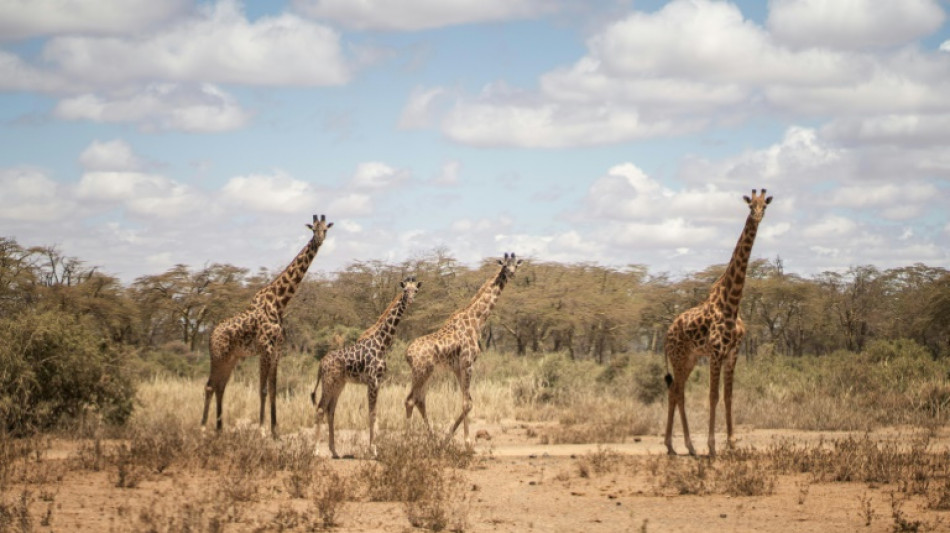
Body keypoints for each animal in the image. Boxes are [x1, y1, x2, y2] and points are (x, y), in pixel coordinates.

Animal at [201, 212, 334, 436]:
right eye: (313, 229)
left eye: (325, 229)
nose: (319, 240)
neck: (279, 302)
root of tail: (210, 335)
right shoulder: (265, 348)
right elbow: (262, 389)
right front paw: (262, 429)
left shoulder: (277, 350)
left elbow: (273, 389)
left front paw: (275, 431)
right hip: (218, 356)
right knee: (210, 386)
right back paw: (203, 428)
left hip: (231, 359)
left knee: (220, 387)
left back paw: (220, 429)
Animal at [310, 274, 422, 458]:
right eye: (405, 290)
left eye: (416, 290)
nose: (411, 300)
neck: (382, 344)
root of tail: (320, 364)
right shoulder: (372, 381)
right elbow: (372, 414)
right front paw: (373, 450)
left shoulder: (378, 382)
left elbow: (374, 413)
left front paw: (374, 448)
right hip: (328, 382)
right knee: (320, 409)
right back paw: (315, 450)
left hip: (338, 384)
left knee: (330, 410)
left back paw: (334, 451)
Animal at [402, 251, 520, 442]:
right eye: (504, 265)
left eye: (516, 264)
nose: (511, 273)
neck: (476, 320)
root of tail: (407, 353)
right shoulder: (468, 362)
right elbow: (466, 403)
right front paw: (467, 442)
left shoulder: (458, 367)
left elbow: (468, 402)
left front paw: (447, 439)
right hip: (420, 372)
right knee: (411, 400)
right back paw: (406, 441)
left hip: (426, 372)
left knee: (419, 399)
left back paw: (432, 439)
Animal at [660, 189, 772, 456]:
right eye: (750, 205)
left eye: (765, 206)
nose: (757, 217)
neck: (732, 302)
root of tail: (666, 335)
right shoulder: (716, 352)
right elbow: (713, 396)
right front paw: (712, 446)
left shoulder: (733, 352)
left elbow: (729, 396)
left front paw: (732, 442)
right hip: (679, 357)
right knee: (677, 392)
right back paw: (682, 445)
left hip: (689, 359)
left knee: (676, 391)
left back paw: (680, 446)